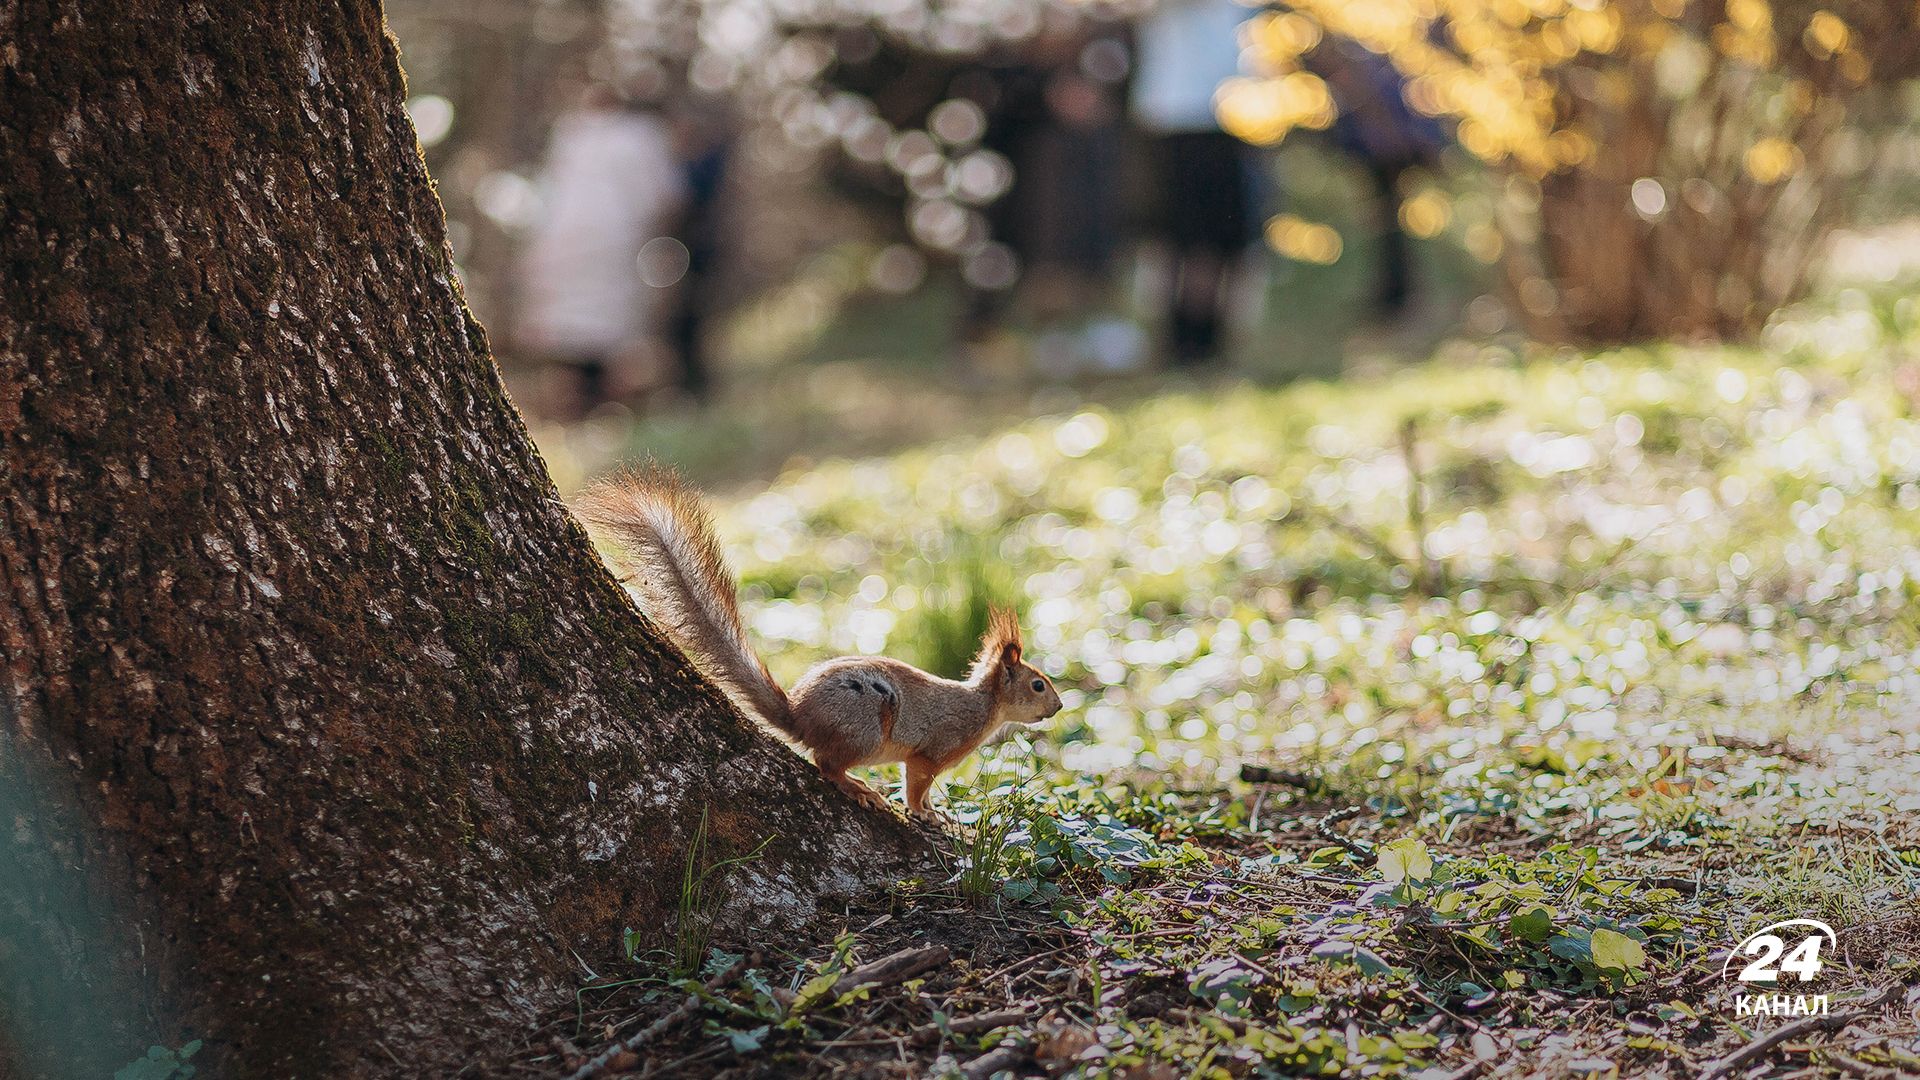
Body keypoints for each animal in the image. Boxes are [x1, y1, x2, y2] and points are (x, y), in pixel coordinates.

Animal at [583, 466, 1067, 810]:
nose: (1060, 707)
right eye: (1037, 684)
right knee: (825, 764)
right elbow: (917, 785)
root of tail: (800, 716)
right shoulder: (931, 751)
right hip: (864, 731)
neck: (984, 708)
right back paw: (859, 788)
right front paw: (927, 814)